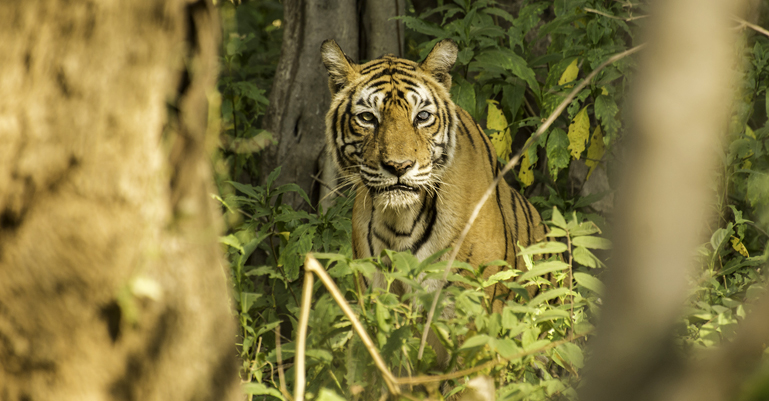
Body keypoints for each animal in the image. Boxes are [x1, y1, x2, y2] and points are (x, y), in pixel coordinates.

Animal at [320, 37, 548, 362]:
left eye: (422, 117)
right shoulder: (377, 304)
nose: (399, 166)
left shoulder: (473, 315)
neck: (400, 220)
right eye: (367, 118)